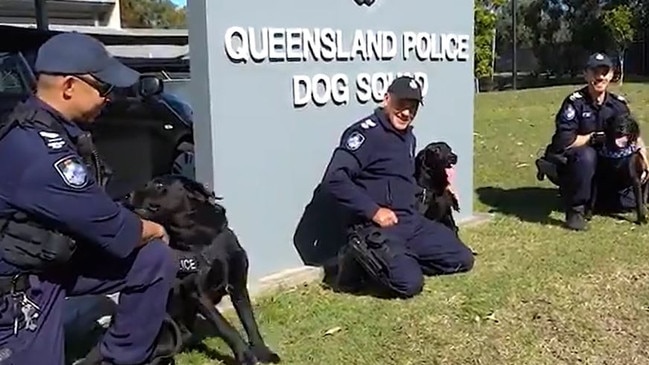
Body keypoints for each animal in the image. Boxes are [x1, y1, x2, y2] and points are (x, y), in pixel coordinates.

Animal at [125, 173, 280, 364]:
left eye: (159, 185)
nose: (127, 195)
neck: (202, 240)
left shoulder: (238, 285)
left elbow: (250, 322)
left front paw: (263, 353)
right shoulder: (198, 294)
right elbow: (226, 327)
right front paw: (245, 356)